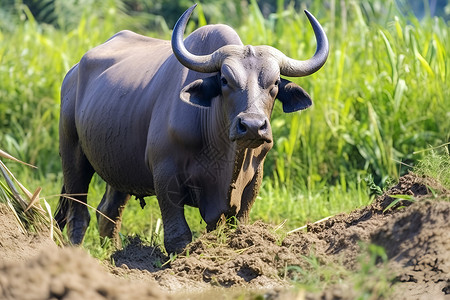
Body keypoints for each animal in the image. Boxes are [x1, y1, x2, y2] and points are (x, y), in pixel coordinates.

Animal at [54, 5, 328, 253]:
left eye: (275, 83)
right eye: (224, 80)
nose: (251, 126)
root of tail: (73, 73)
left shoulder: (253, 179)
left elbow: (235, 227)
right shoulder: (165, 174)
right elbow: (178, 237)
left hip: (119, 164)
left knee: (108, 213)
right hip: (72, 153)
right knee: (78, 215)